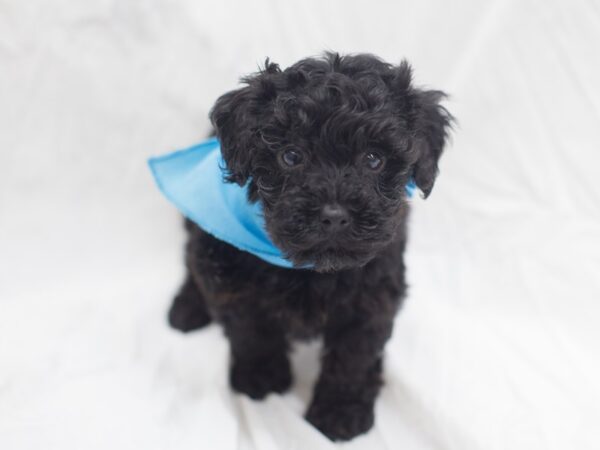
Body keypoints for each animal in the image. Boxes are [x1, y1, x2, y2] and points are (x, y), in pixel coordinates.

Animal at [168, 51, 450, 440]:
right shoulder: (227, 273)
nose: (334, 215)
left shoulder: (373, 296)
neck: (311, 268)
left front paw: (341, 411)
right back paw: (186, 306)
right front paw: (261, 376)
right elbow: (249, 327)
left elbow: (354, 355)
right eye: (291, 156)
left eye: (373, 159)